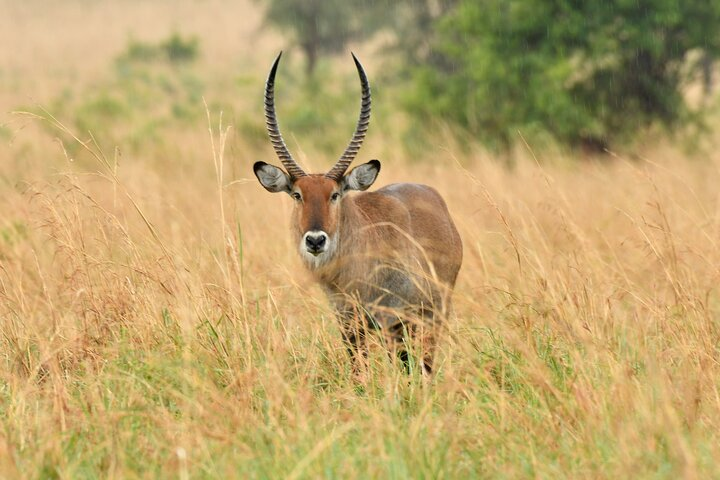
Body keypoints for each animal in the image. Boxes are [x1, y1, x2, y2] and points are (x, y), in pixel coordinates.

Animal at [253, 53, 464, 376]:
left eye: (335, 194)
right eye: (297, 195)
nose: (316, 241)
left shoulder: (392, 321)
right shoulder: (349, 324)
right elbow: (357, 370)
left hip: (431, 315)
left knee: (423, 364)